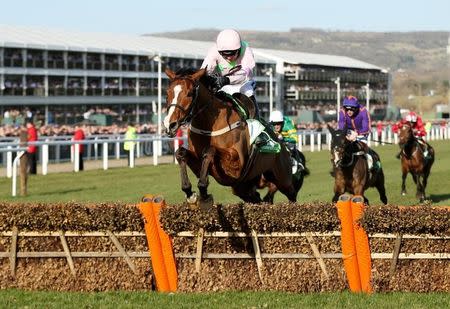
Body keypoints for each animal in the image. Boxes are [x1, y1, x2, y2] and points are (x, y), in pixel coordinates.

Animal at [162, 66, 298, 208]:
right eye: (167, 93)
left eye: (190, 93)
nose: (170, 124)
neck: (209, 126)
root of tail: (281, 144)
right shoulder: (199, 164)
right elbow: (180, 152)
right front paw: (189, 193)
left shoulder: (237, 164)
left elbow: (209, 150)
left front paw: (204, 193)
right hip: (243, 187)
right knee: (257, 198)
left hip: (282, 178)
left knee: (292, 193)